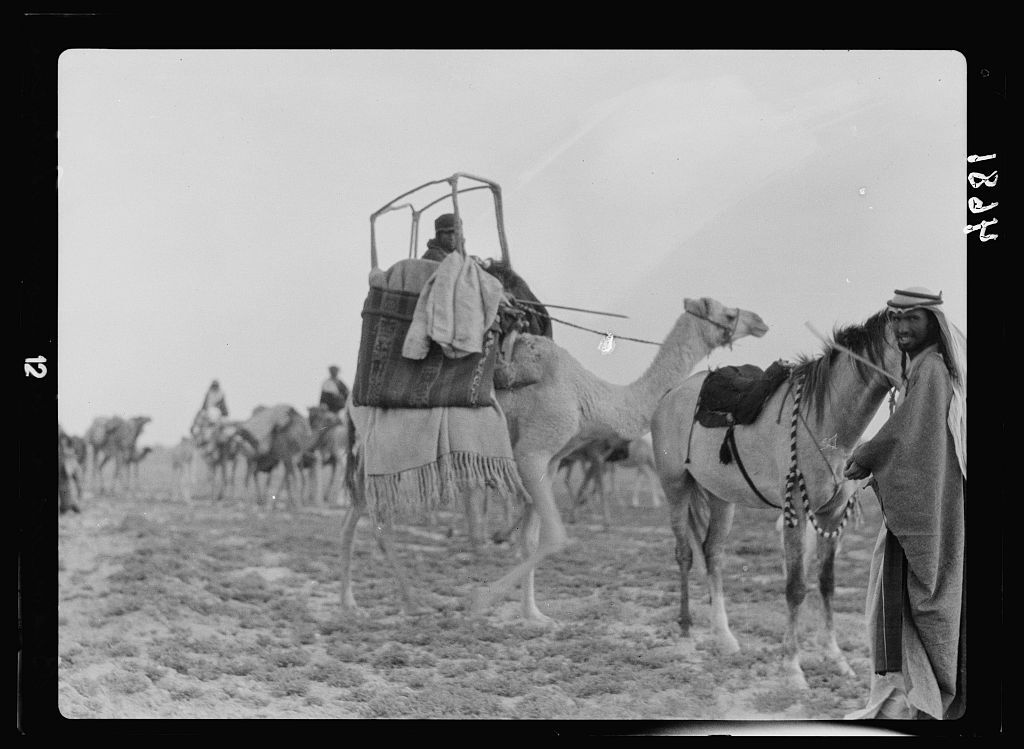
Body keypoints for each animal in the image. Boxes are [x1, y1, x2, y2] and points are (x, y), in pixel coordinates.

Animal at [337, 299, 770, 622]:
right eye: (728, 314)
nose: (761, 321)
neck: (590, 397)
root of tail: (351, 399)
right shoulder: (534, 450)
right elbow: (556, 536)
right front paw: (480, 601)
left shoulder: (548, 461)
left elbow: (531, 538)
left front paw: (534, 614)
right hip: (390, 447)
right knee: (374, 515)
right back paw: (411, 602)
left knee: (356, 513)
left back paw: (354, 603)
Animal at [651, 307, 901, 688]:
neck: (824, 417)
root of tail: (669, 396)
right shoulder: (795, 510)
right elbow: (795, 587)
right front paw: (793, 669)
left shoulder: (831, 515)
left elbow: (827, 584)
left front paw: (837, 659)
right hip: (676, 486)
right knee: (684, 555)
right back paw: (685, 636)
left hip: (721, 497)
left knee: (712, 553)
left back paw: (725, 637)